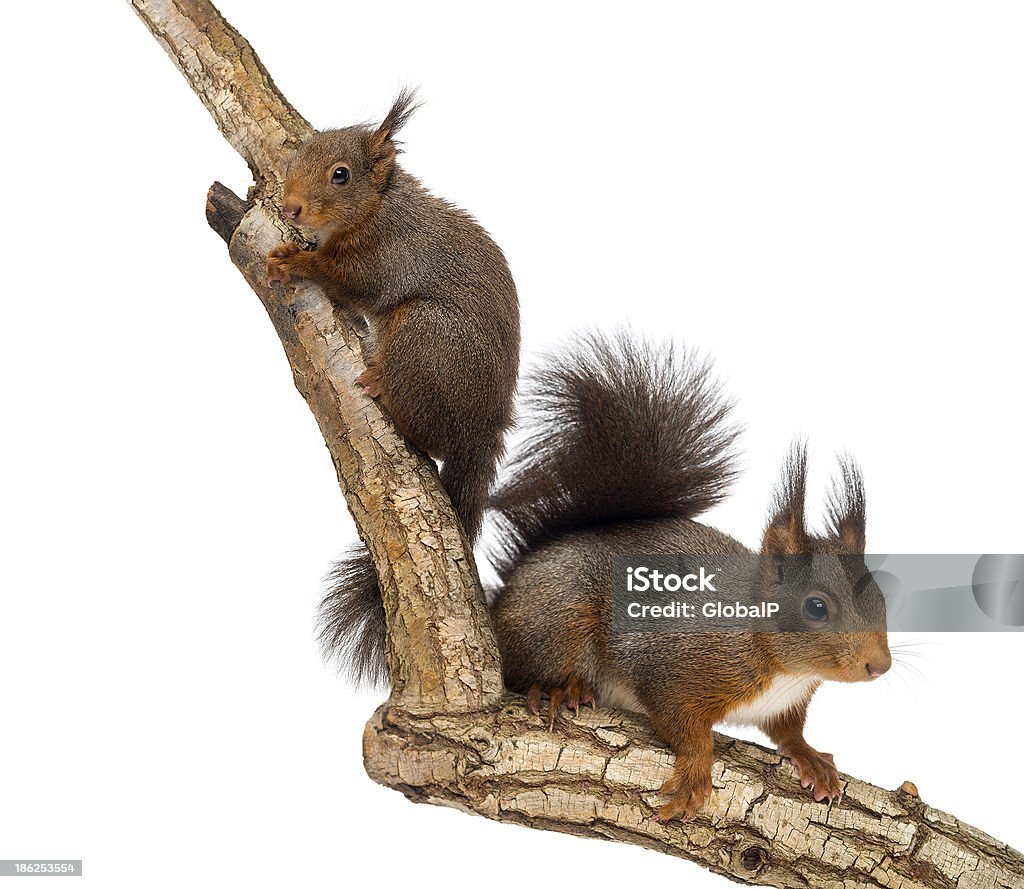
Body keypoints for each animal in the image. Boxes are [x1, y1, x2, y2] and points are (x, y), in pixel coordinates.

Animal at [266, 90, 520, 680]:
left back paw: (386, 391)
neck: (379, 210)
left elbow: (346, 279)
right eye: (295, 159)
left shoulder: (388, 258)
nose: (291, 209)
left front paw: (293, 260)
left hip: (425, 335)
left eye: (340, 175)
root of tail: (485, 426)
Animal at [485, 331, 888, 819]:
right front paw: (697, 771)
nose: (880, 666)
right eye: (815, 607)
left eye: (883, 599)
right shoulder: (673, 666)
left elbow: (788, 732)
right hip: (559, 613)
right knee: (528, 666)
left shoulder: (783, 706)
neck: (785, 670)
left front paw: (810, 756)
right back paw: (559, 689)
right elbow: (681, 721)